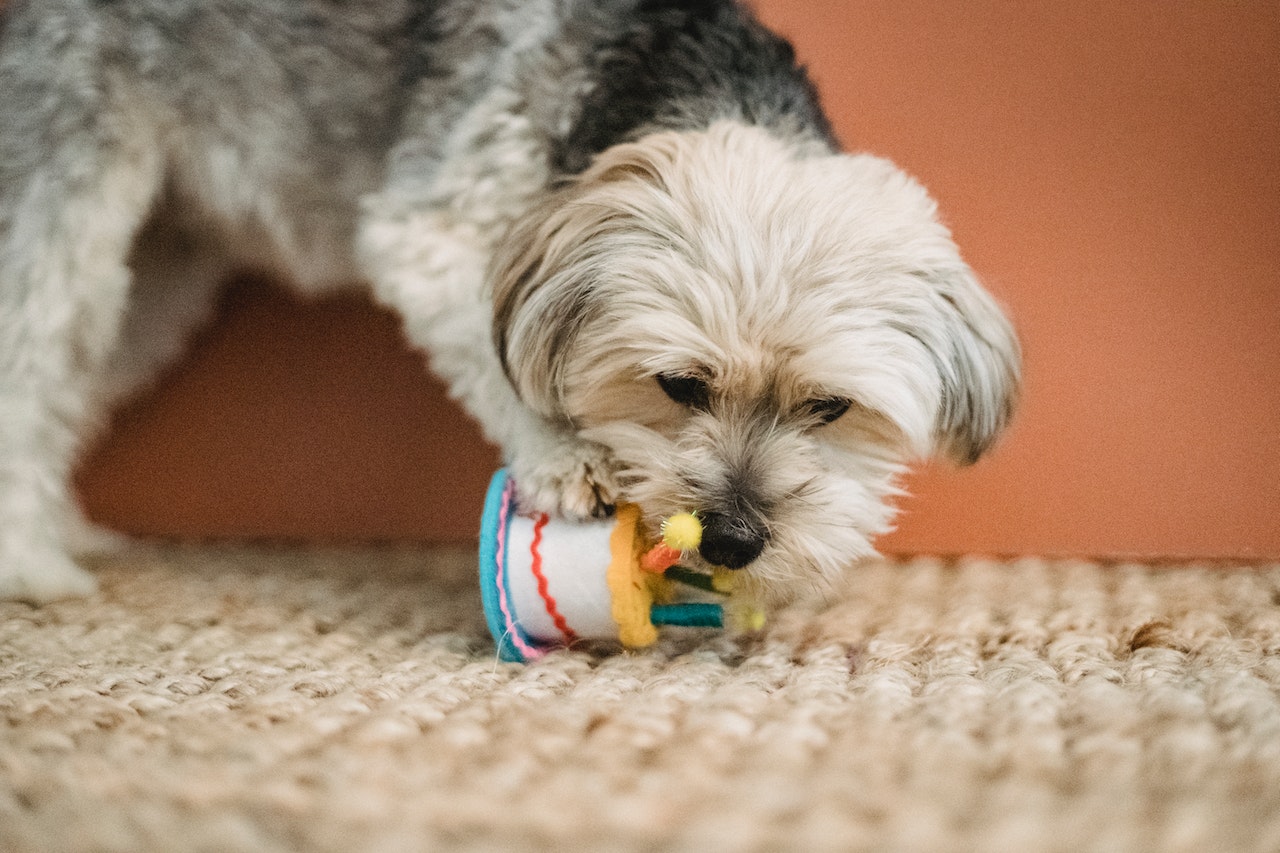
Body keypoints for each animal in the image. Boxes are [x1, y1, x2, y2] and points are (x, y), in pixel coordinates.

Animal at [0, 0, 1018, 601]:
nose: (733, 538)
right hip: (62, 193)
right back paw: (33, 567)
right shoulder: (438, 237)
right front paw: (567, 457)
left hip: (160, 272)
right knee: (28, 363)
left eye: (831, 407)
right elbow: (506, 366)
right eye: (679, 385)